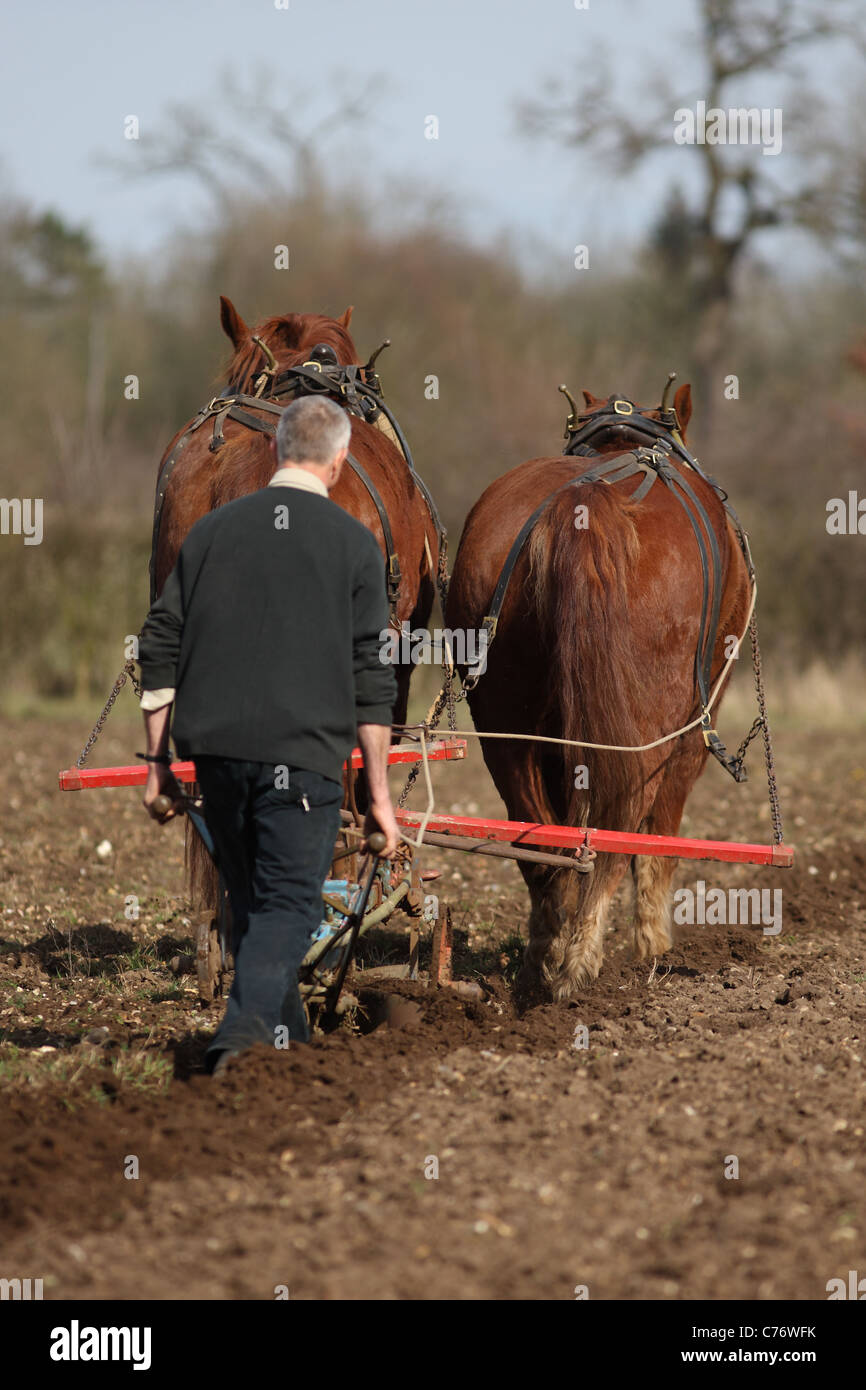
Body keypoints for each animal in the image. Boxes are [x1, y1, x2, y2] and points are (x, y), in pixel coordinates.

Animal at [447, 383, 750, 1000]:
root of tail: (584, 504)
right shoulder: (692, 729)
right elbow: (660, 834)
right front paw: (653, 945)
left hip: (505, 720)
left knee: (543, 841)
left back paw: (545, 958)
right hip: (652, 723)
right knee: (621, 823)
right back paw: (584, 958)